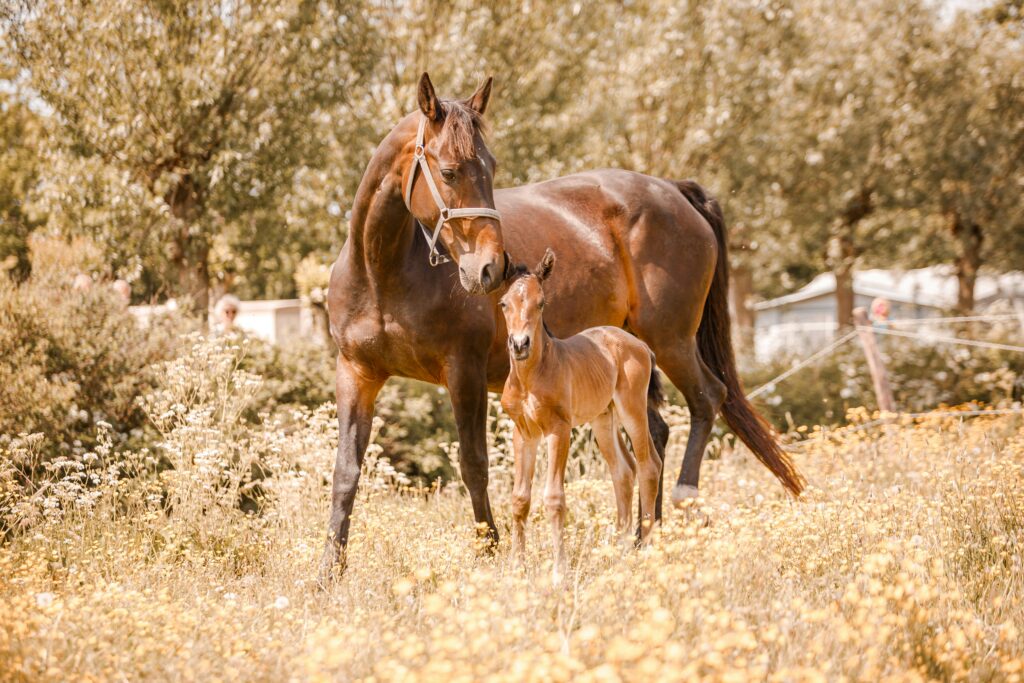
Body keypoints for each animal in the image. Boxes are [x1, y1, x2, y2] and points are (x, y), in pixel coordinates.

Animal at [500, 249, 665, 580]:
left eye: (541, 303)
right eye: (504, 303)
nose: (520, 345)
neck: (531, 377)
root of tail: (640, 345)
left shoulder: (558, 429)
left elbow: (553, 498)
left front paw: (559, 572)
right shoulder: (523, 432)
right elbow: (519, 498)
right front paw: (516, 568)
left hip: (632, 408)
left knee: (648, 466)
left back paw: (644, 551)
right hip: (603, 419)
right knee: (623, 471)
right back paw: (620, 553)